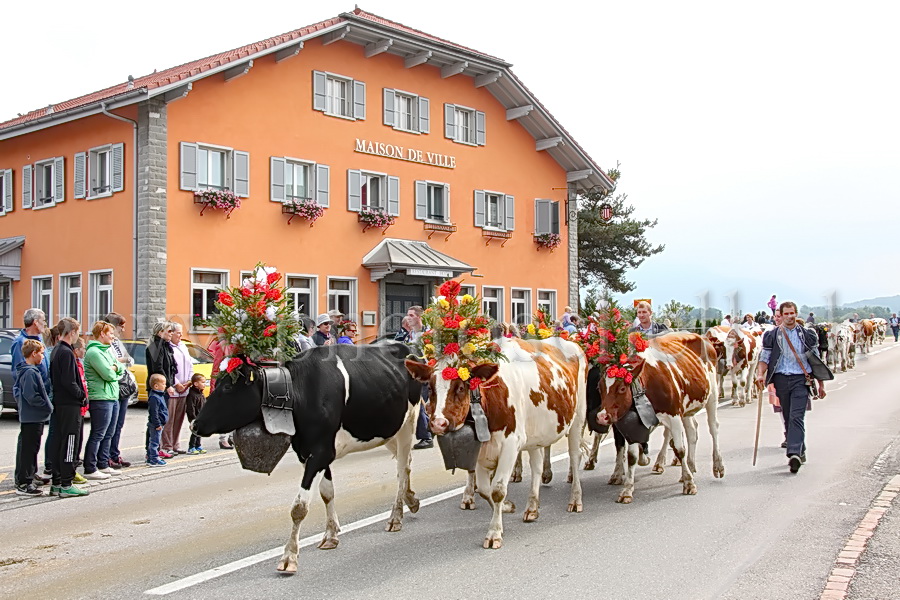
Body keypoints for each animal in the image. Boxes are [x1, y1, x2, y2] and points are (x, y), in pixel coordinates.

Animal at [191, 340, 422, 576]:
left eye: (228, 387)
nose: (194, 424)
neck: (300, 392)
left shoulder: (320, 452)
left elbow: (299, 507)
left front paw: (289, 557)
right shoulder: (311, 451)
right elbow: (327, 493)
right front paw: (330, 535)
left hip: (409, 422)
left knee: (402, 468)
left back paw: (396, 517)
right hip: (388, 429)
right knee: (405, 466)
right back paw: (410, 500)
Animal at [404, 278, 588, 552]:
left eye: (461, 387)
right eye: (431, 387)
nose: (438, 423)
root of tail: (566, 342)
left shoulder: (511, 443)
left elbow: (498, 488)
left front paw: (494, 532)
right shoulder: (483, 449)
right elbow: (484, 489)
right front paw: (507, 507)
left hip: (577, 418)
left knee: (575, 459)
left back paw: (575, 500)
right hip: (535, 433)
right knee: (536, 467)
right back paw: (532, 507)